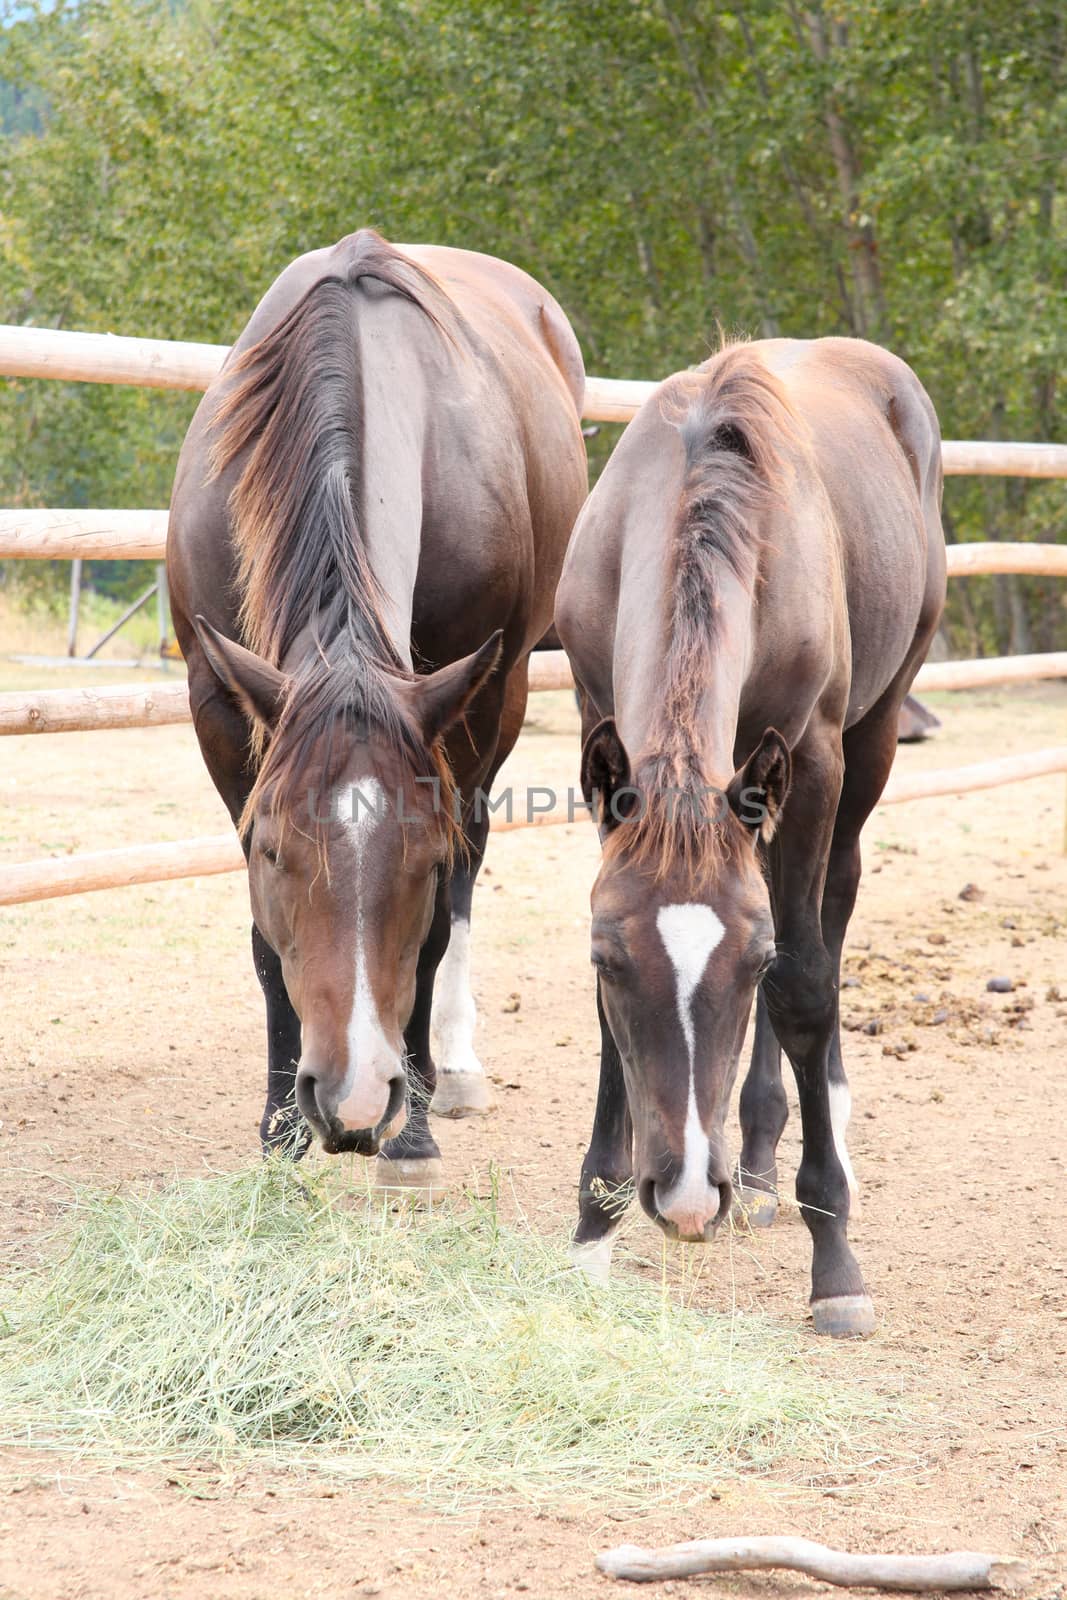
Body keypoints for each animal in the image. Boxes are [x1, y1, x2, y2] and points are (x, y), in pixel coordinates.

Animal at [167, 233, 588, 1190]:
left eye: (418, 861)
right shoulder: (219, 706)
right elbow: (264, 943)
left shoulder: (466, 712)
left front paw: (413, 1134)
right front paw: (280, 1129)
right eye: (275, 850)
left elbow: (440, 918)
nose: (355, 1100)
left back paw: (453, 1072)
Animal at [556, 337, 947, 1337]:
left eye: (749, 960)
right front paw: (593, 1228)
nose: (687, 1197)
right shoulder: (597, 723)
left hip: (869, 737)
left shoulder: (808, 758)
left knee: (832, 908)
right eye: (604, 960)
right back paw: (759, 1165)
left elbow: (804, 983)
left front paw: (835, 1262)